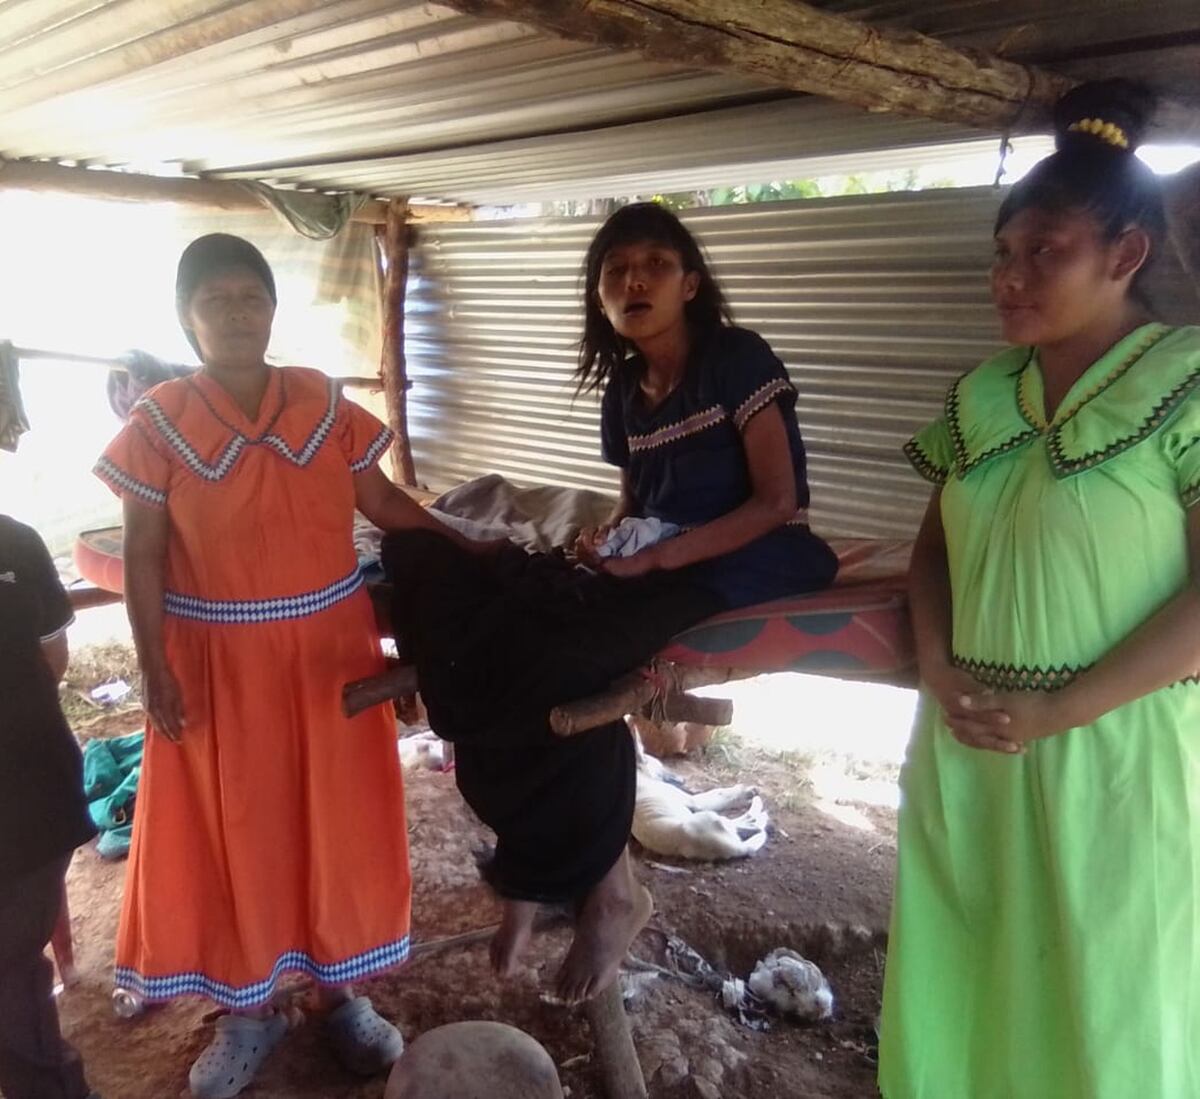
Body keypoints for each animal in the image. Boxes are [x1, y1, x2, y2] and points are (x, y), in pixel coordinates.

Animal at [628, 724, 768, 863]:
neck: (640, 775)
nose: (682, 780)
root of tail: (739, 849)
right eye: (661, 766)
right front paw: (744, 791)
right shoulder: (695, 801)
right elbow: (719, 793)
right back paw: (753, 818)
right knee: (742, 824)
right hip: (709, 817)